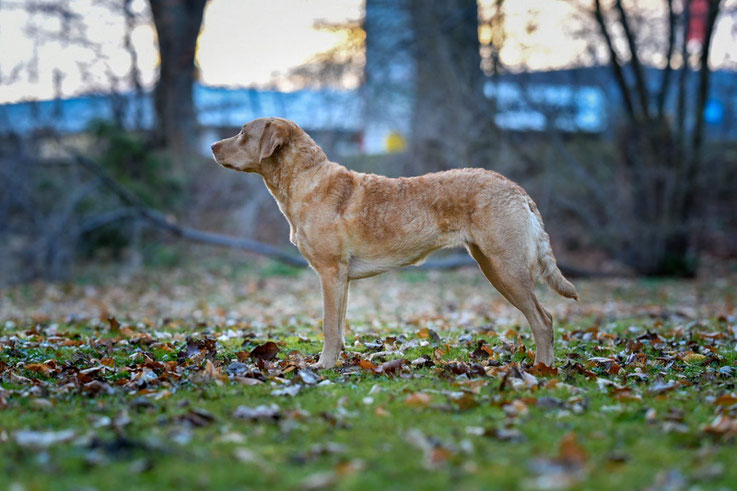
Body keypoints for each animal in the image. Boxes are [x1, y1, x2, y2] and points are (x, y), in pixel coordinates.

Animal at [210, 116, 576, 368]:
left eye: (242, 133)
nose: (212, 147)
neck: (305, 182)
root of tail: (517, 190)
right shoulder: (341, 279)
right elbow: (339, 327)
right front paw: (337, 362)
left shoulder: (329, 272)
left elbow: (328, 326)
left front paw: (323, 366)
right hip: (491, 265)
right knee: (542, 318)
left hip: (507, 267)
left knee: (543, 319)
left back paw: (542, 369)